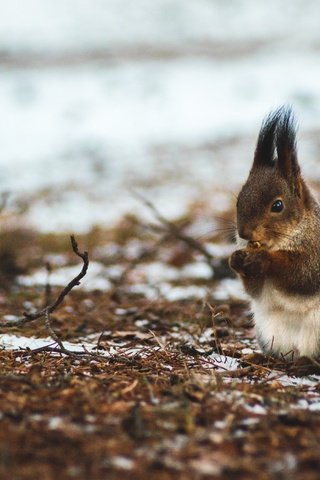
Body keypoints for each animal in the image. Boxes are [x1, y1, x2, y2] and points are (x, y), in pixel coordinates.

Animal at [229, 107, 320, 358]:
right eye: (239, 200)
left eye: (277, 205)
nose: (244, 233)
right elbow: (255, 291)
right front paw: (235, 259)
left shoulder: (315, 257)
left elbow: (302, 274)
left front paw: (264, 259)